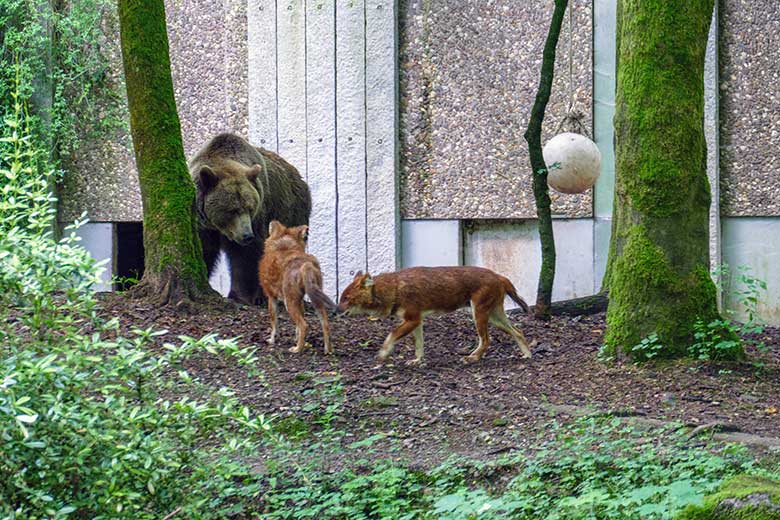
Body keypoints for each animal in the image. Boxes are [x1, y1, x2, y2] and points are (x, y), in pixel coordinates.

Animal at [189, 133, 310, 304]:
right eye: (231, 210)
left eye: (250, 207)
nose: (247, 235)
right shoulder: (202, 224)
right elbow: (204, 249)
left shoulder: (259, 218)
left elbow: (246, 256)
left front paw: (241, 296)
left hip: (291, 211)